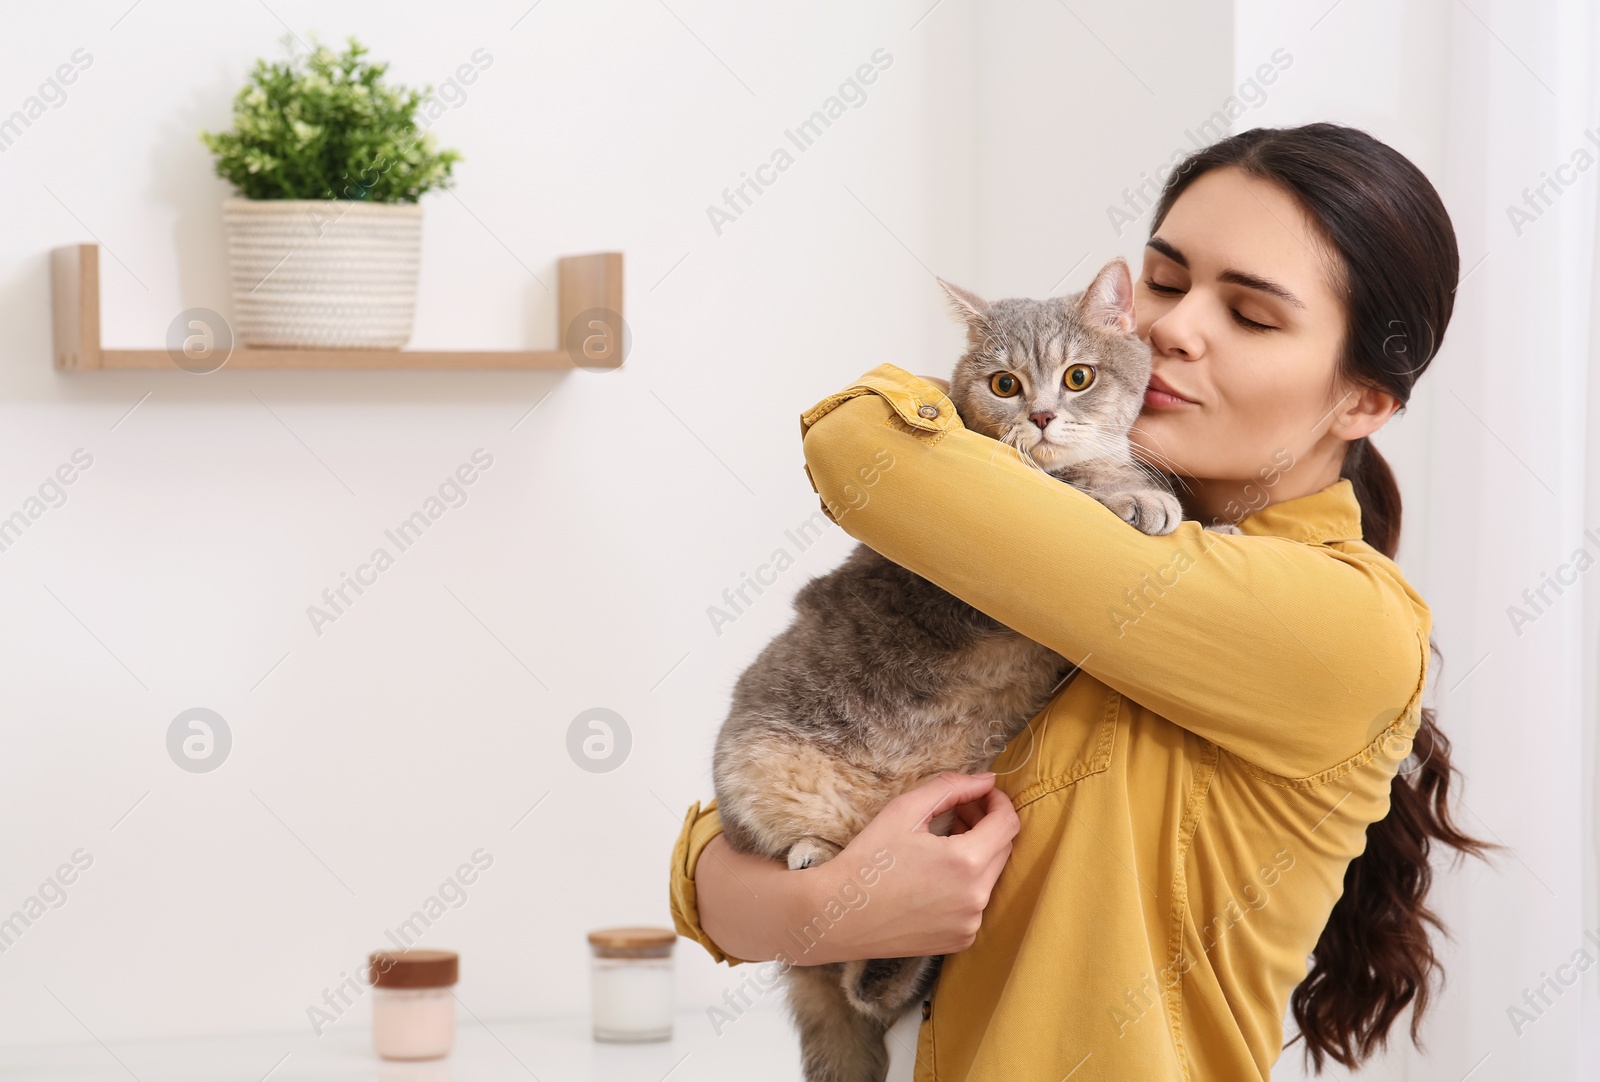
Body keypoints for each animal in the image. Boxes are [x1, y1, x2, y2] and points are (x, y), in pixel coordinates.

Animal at [720, 256, 1196, 1082]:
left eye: (1077, 376)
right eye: (1005, 385)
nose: (1042, 417)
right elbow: (1079, 486)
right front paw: (1140, 496)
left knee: (869, 990)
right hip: (749, 771)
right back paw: (816, 857)